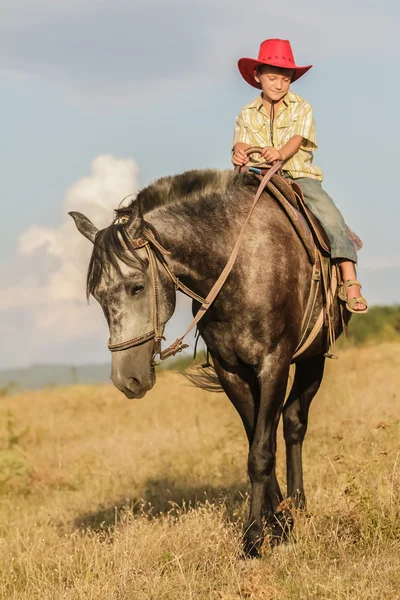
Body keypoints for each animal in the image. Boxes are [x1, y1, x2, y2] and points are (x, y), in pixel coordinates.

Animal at [69, 165, 344, 556]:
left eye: (137, 286)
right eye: (97, 294)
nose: (126, 379)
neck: (239, 265)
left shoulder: (273, 364)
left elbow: (261, 453)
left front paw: (255, 539)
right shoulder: (232, 372)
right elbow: (257, 444)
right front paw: (277, 525)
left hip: (313, 358)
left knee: (293, 423)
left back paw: (299, 505)